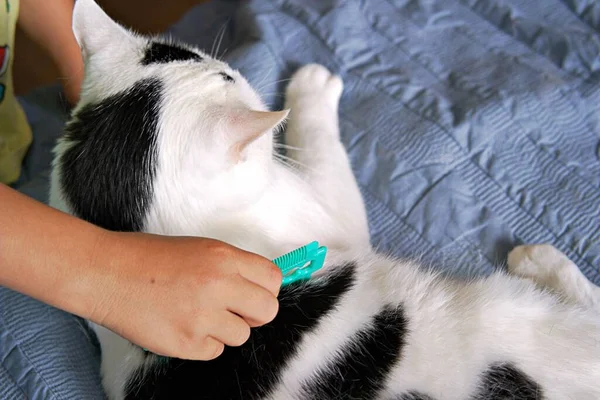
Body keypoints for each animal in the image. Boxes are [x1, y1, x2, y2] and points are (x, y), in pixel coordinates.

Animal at [49, 0, 600, 400]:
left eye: (215, 64)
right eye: (229, 78)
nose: (233, 68)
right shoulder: (330, 218)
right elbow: (320, 146)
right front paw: (312, 85)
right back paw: (538, 259)